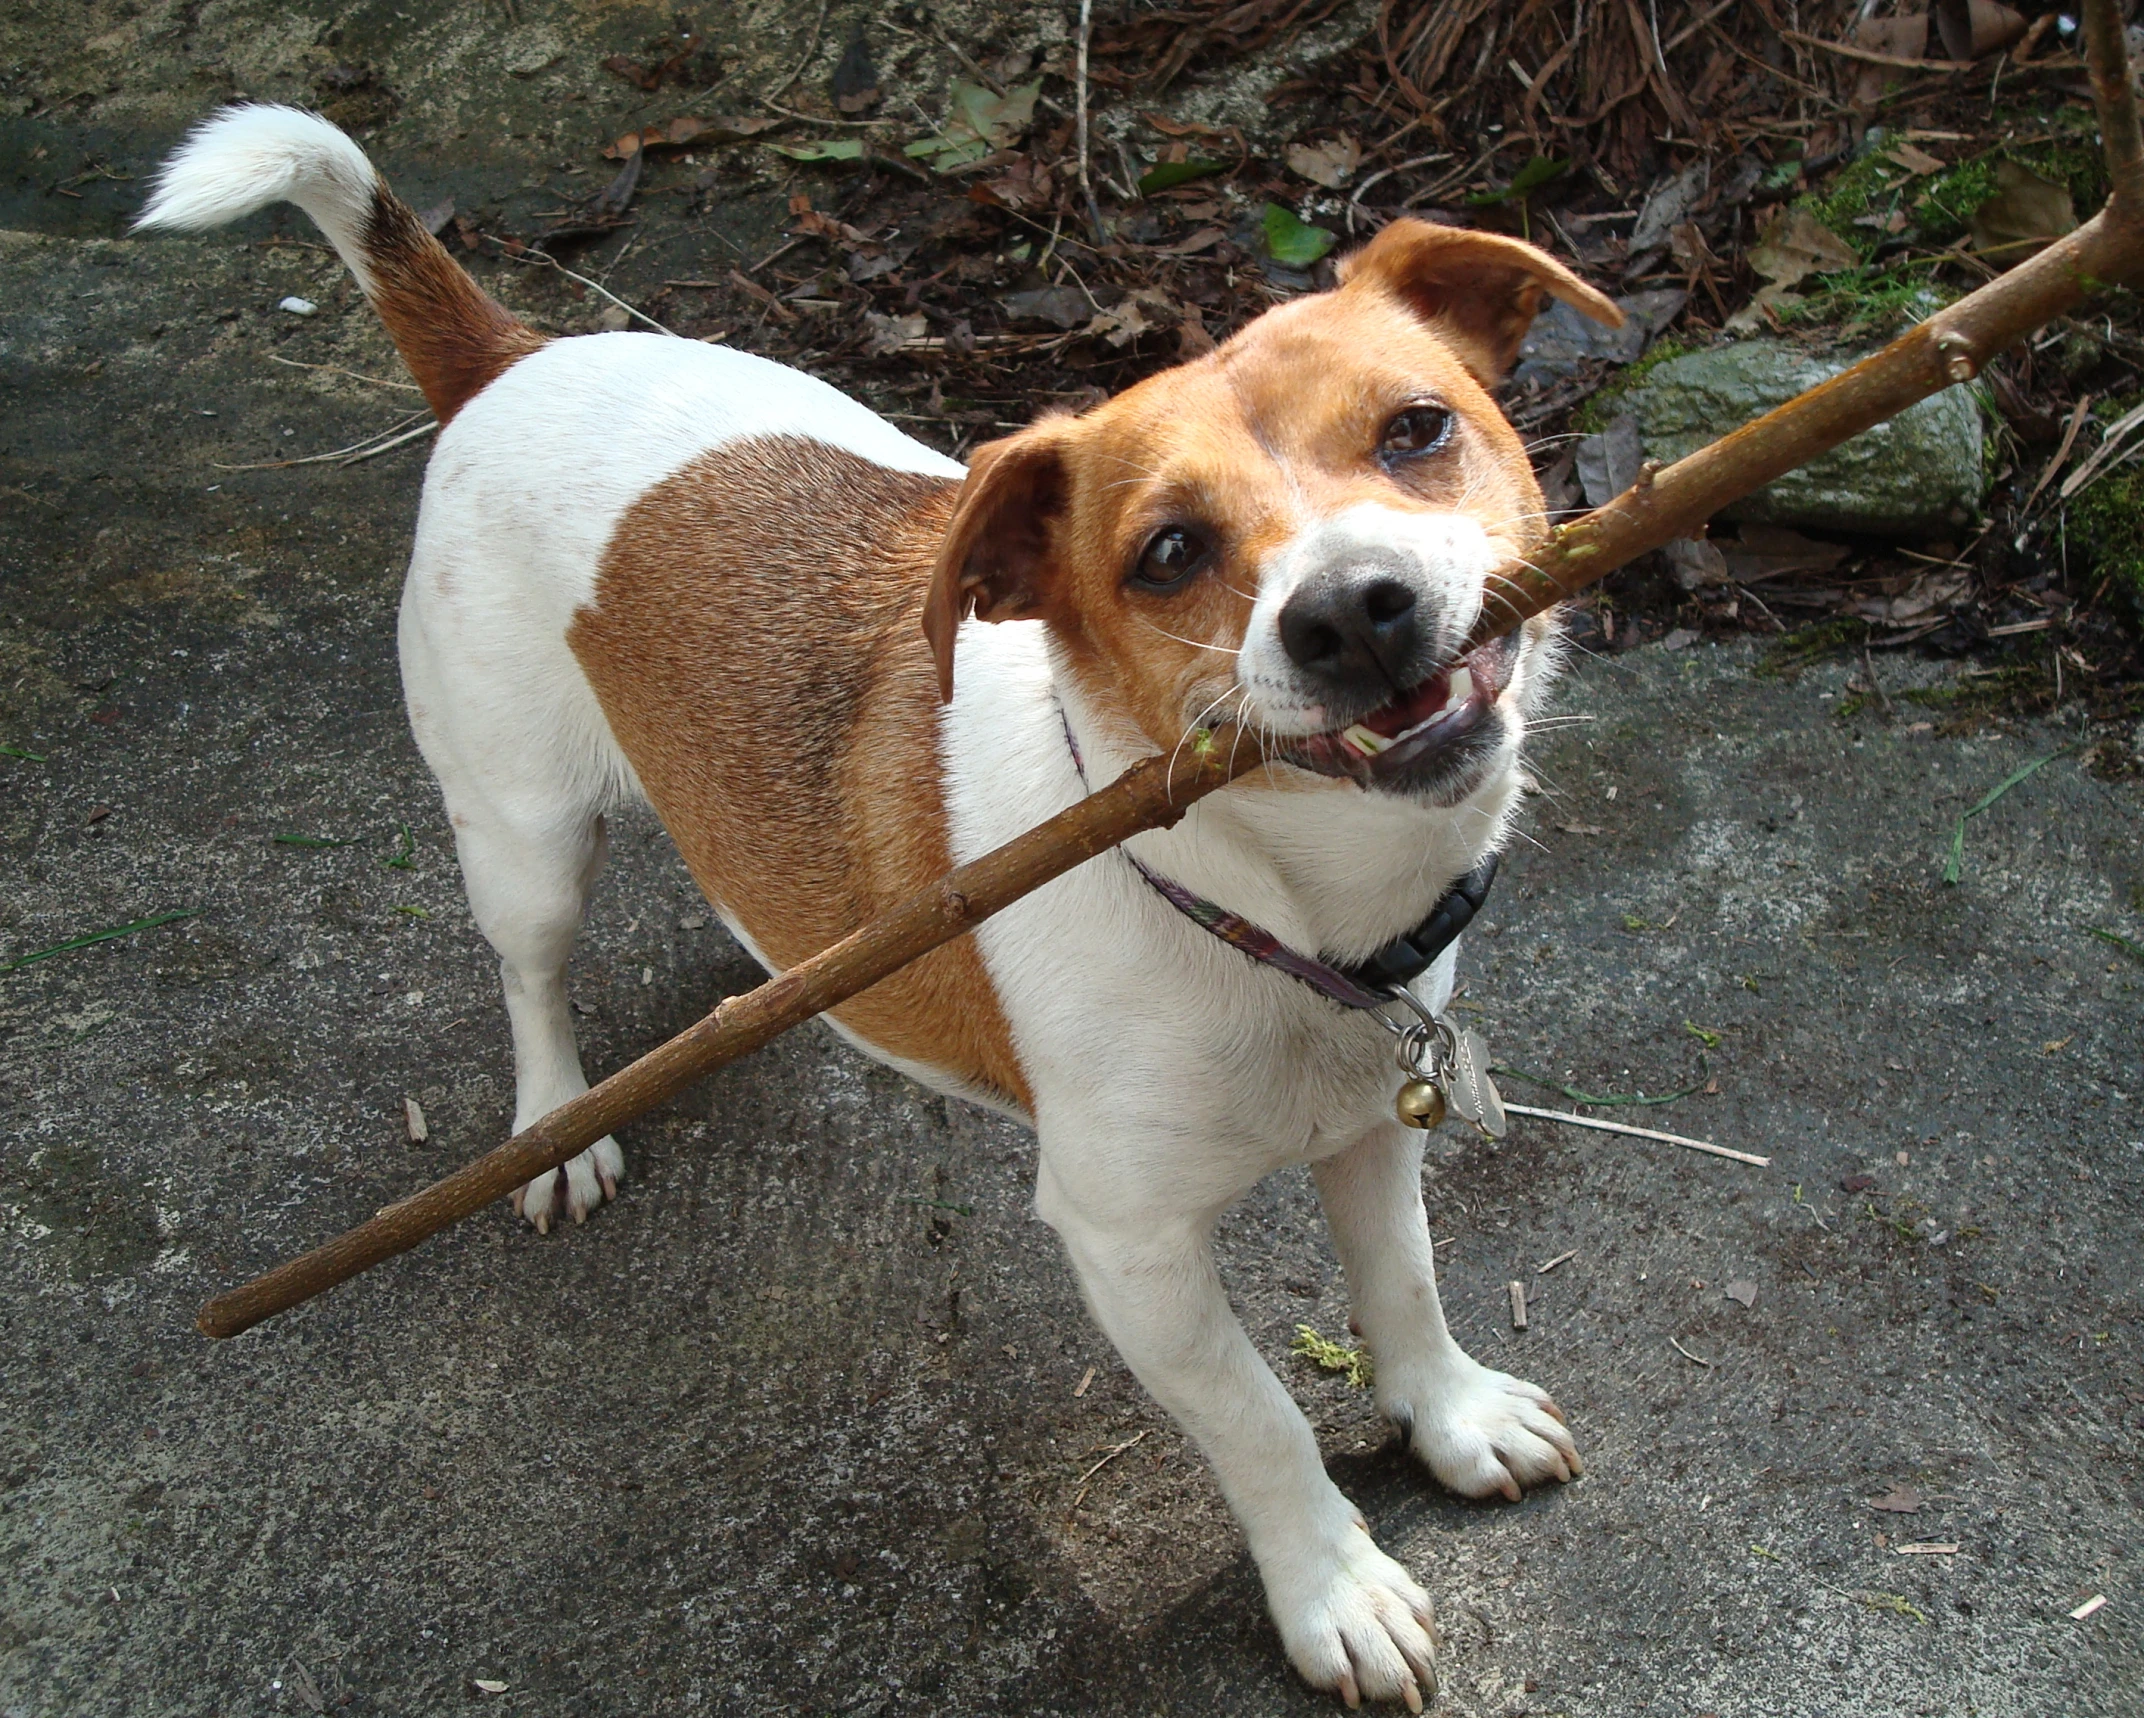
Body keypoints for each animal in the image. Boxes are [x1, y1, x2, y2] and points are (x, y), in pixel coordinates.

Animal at [142, 107, 1620, 1698]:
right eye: (1166, 552)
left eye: (1416, 428)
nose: (1349, 608)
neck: (1267, 904)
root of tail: (509, 355)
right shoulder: (1130, 1248)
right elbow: (1258, 1418)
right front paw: (1331, 1586)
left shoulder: (1368, 1126)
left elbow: (1404, 1286)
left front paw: (1451, 1415)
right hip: (521, 835)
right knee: (531, 974)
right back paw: (557, 1122)